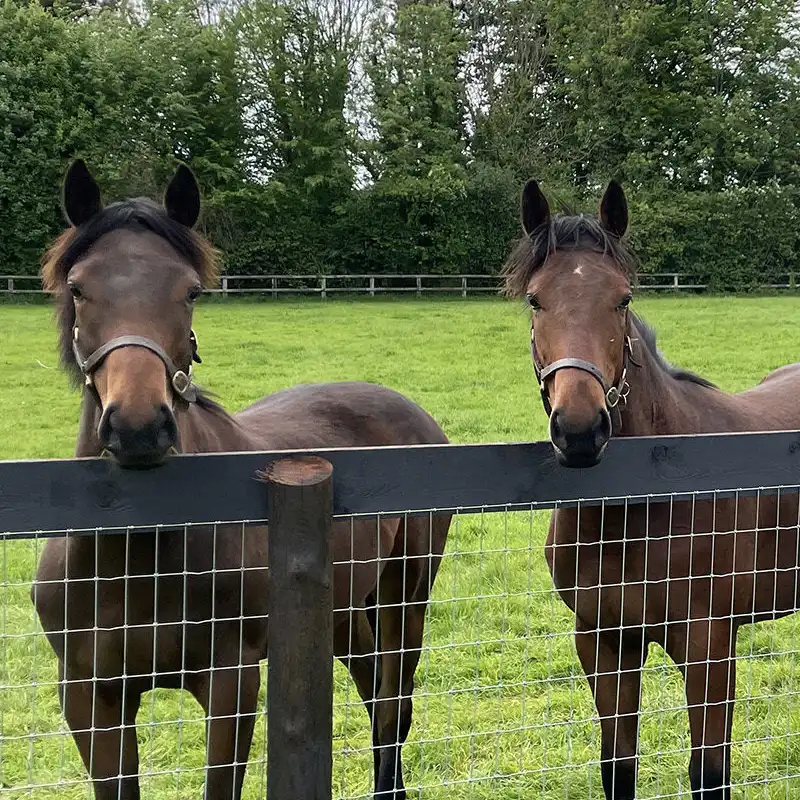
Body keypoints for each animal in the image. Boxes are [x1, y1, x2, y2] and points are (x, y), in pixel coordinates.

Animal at [32, 159, 452, 800]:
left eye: (191, 291)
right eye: (78, 288)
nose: (138, 426)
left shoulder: (231, 680)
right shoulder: (89, 695)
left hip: (404, 599)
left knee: (391, 713)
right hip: (344, 610)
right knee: (372, 691)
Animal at [502, 178, 800, 800]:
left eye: (623, 298)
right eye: (535, 300)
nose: (580, 430)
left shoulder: (709, 646)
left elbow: (709, 773)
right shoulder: (604, 641)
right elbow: (617, 767)